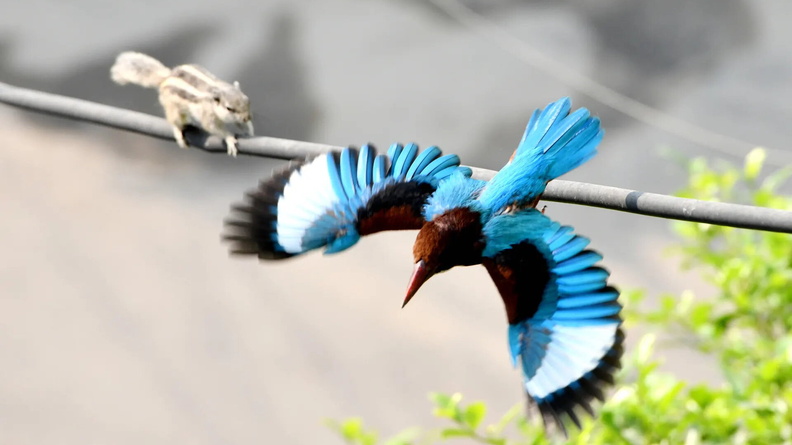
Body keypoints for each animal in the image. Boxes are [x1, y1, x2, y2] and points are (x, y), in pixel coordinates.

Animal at [110, 51, 254, 156]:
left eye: (247, 100)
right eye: (229, 108)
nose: (247, 117)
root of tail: (167, 77)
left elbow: (241, 125)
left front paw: (249, 131)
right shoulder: (208, 115)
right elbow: (213, 128)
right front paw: (230, 139)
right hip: (173, 109)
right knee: (174, 122)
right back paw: (179, 133)